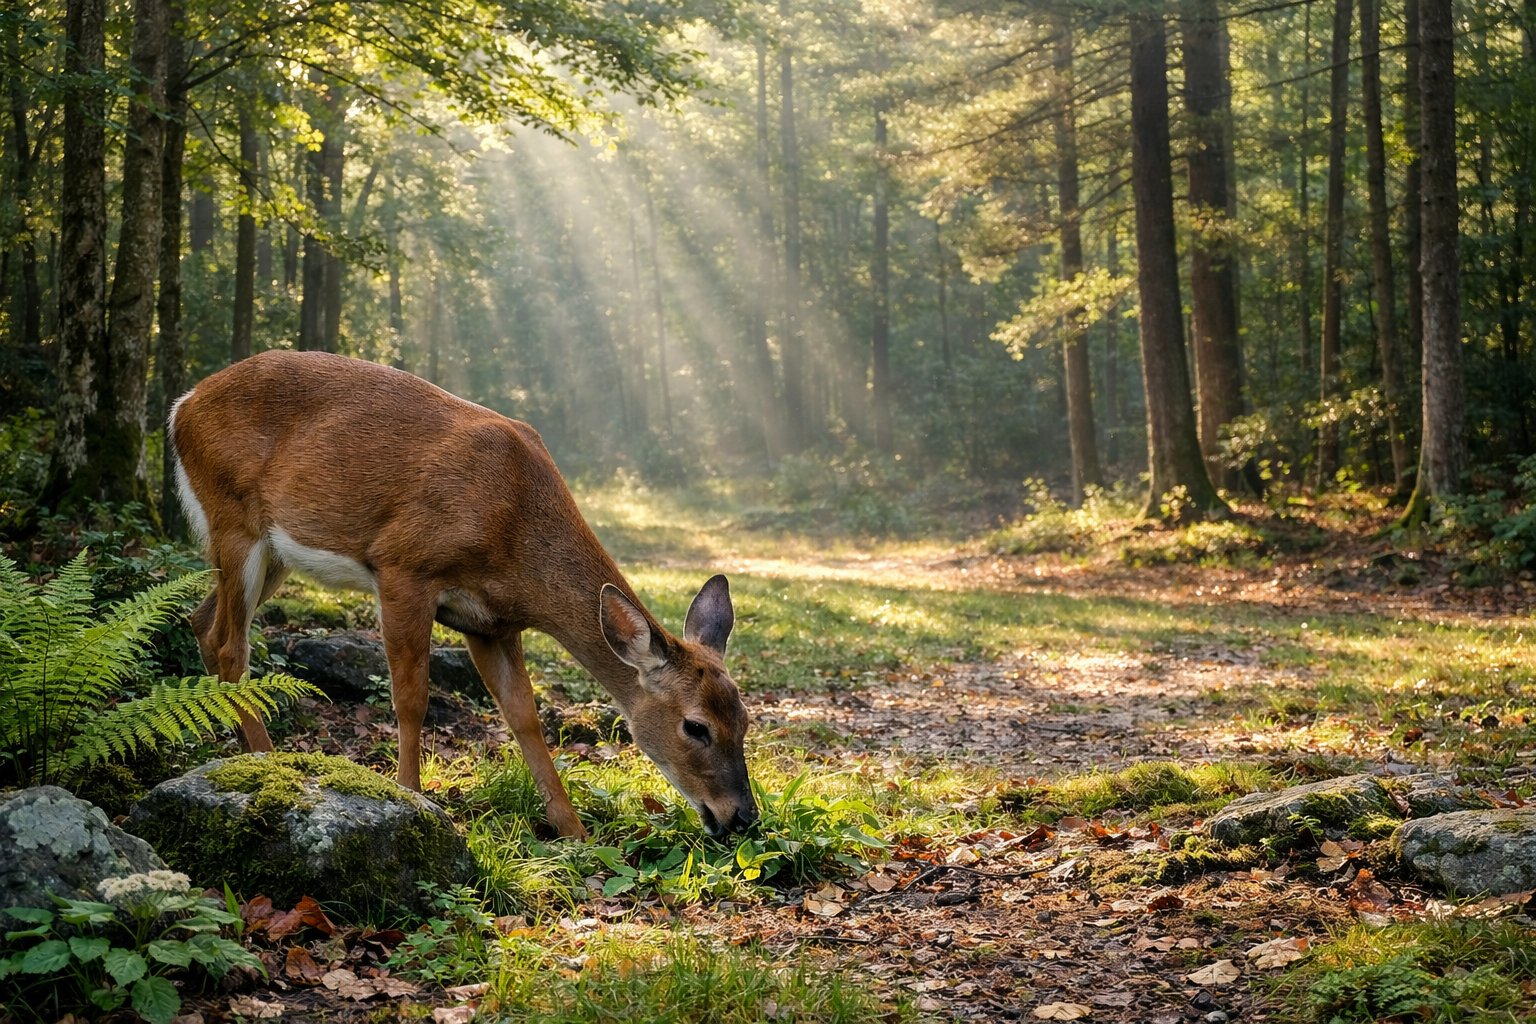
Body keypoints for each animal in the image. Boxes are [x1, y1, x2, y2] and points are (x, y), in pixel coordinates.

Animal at [169, 349, 756, 840]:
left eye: (746, 720)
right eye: (696, 727)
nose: (743, 816)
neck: (515, 536)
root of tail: (181, 406)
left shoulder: (491, 622)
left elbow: (524, 717)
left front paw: (574, 833)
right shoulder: (404, 566)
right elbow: (411, 698)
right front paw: (411, 797)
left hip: (272, 552)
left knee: (204, 623)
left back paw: (233, 746)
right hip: (234, 517)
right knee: (232, 645)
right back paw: (267, 762)